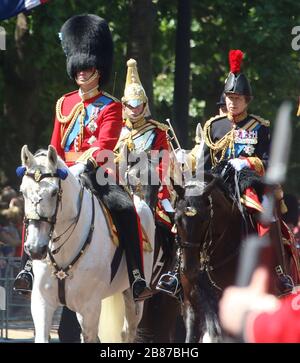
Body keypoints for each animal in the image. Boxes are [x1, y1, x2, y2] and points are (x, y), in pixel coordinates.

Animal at [18, 144, 155, 342]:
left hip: (132, 298)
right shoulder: (42, 303)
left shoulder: (89, 307)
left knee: (128, 331)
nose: (35, 249)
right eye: (23, 192)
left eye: (54, 192)